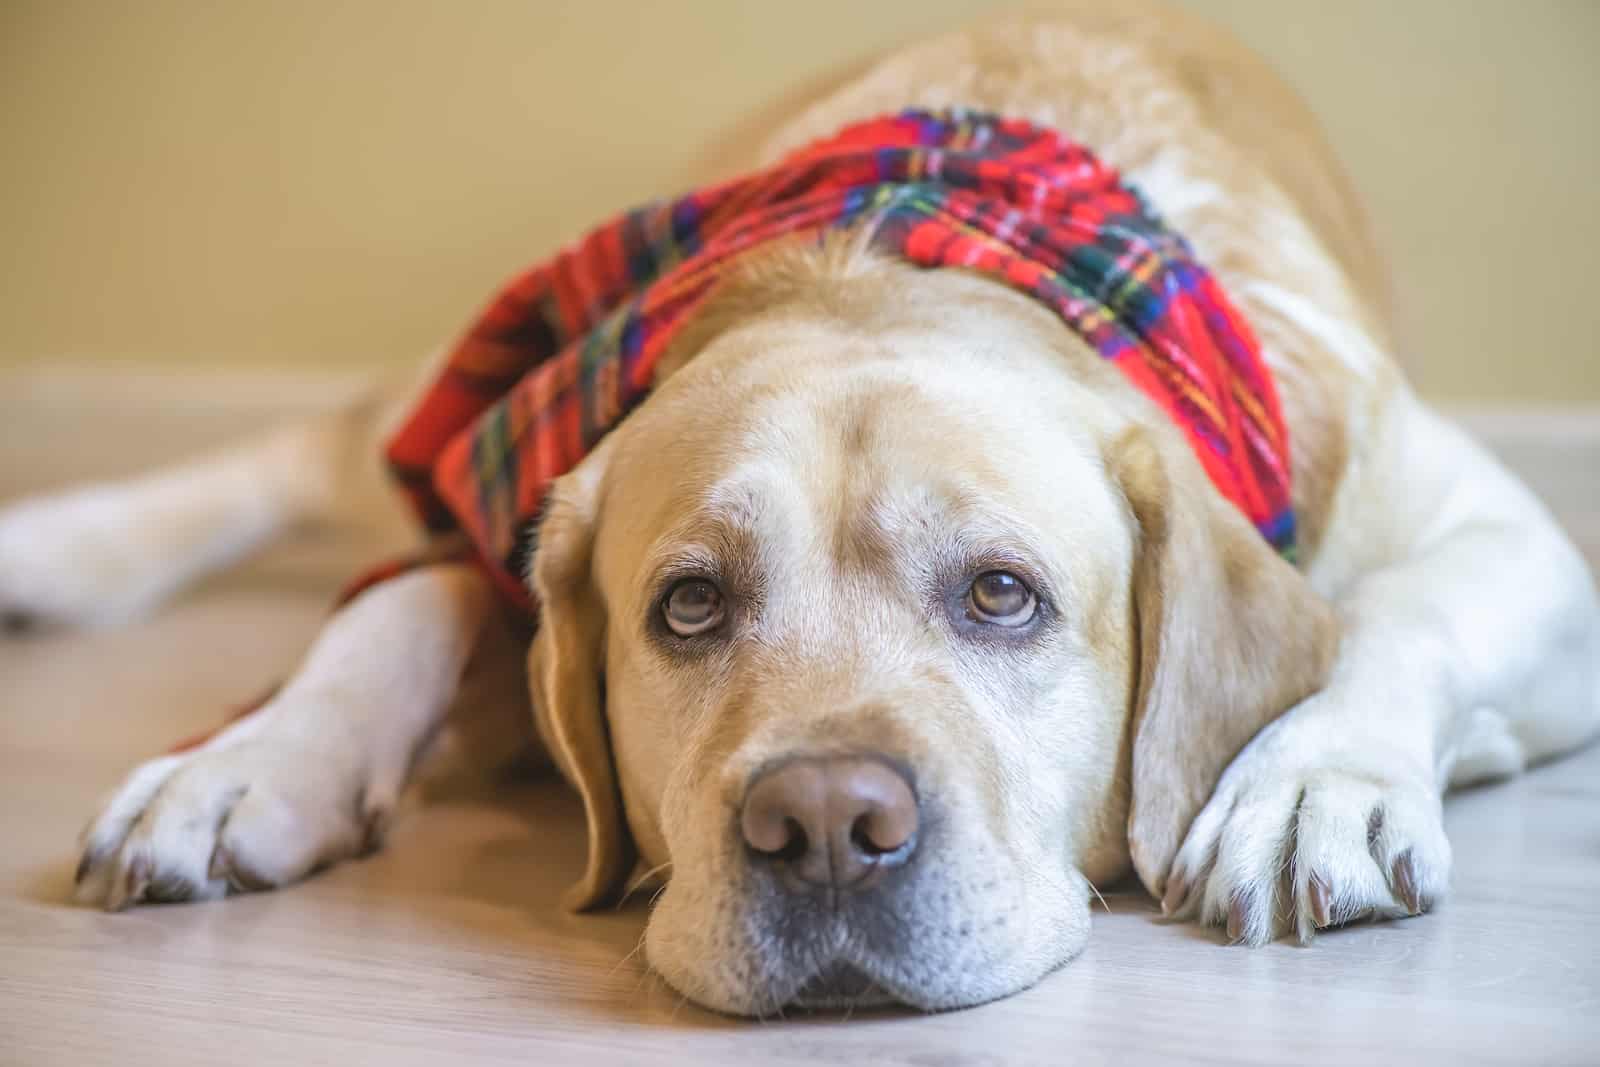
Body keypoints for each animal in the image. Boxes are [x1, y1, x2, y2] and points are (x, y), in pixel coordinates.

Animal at [3, 0, 1600, 1017]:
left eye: (1002, 593)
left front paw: (1312, 782)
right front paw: (245, 757)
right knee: (309, 451)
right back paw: (55, 549)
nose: (826, 822)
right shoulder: (507, 512)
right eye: (688, 603)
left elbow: (1394, 612)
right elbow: (402, 602)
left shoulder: (1516, 544)